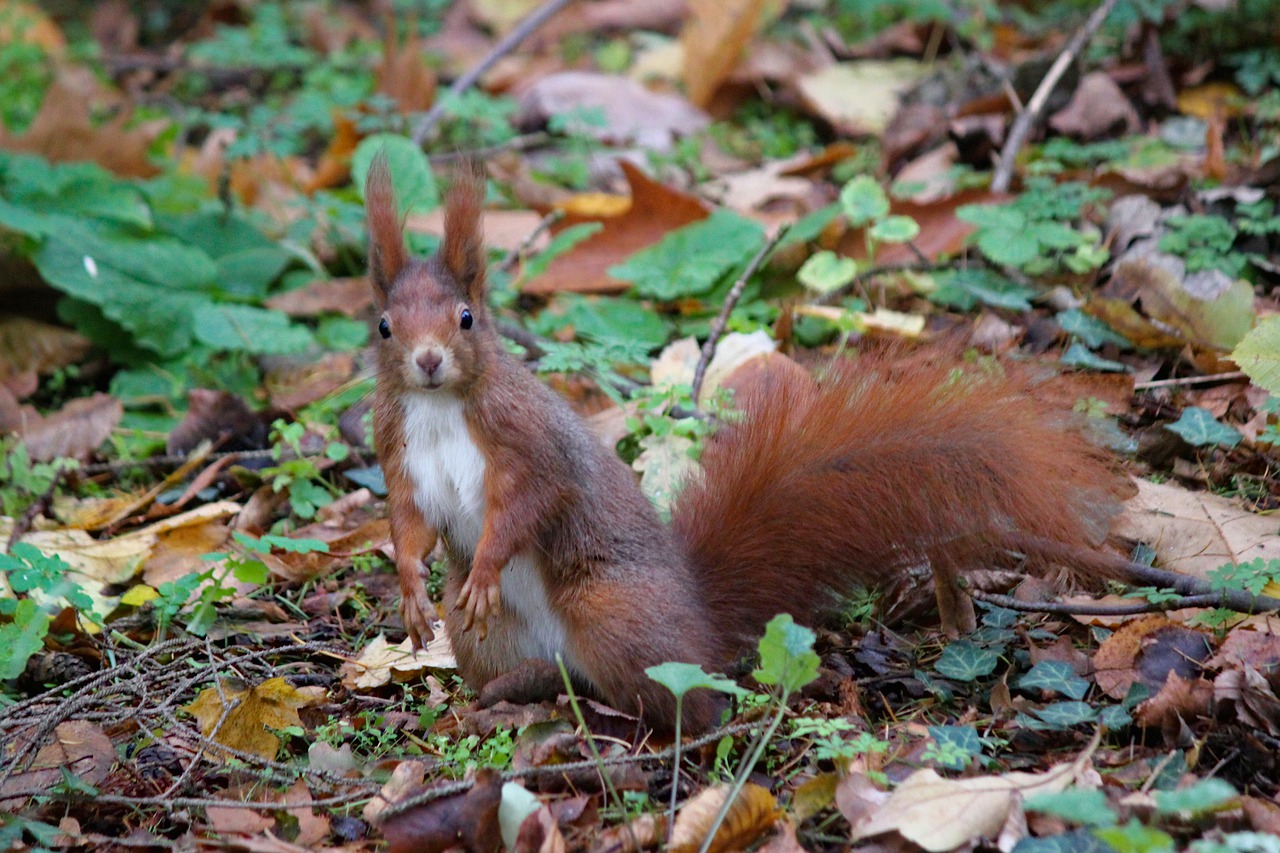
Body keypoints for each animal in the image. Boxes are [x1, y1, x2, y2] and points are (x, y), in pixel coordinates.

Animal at [363, 156, 1131, 727]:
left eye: (466, 317)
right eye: (383, 325)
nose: (427, 360)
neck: (439, 407)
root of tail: (699, 617)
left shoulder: (529, 440)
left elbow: (532, 500)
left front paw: (489, 563)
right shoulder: (397, 451)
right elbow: (407, 522)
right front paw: (410, 591)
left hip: (613, 612)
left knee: (686, 697)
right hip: (485, 638)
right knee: (554, 672)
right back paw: (508, 692)